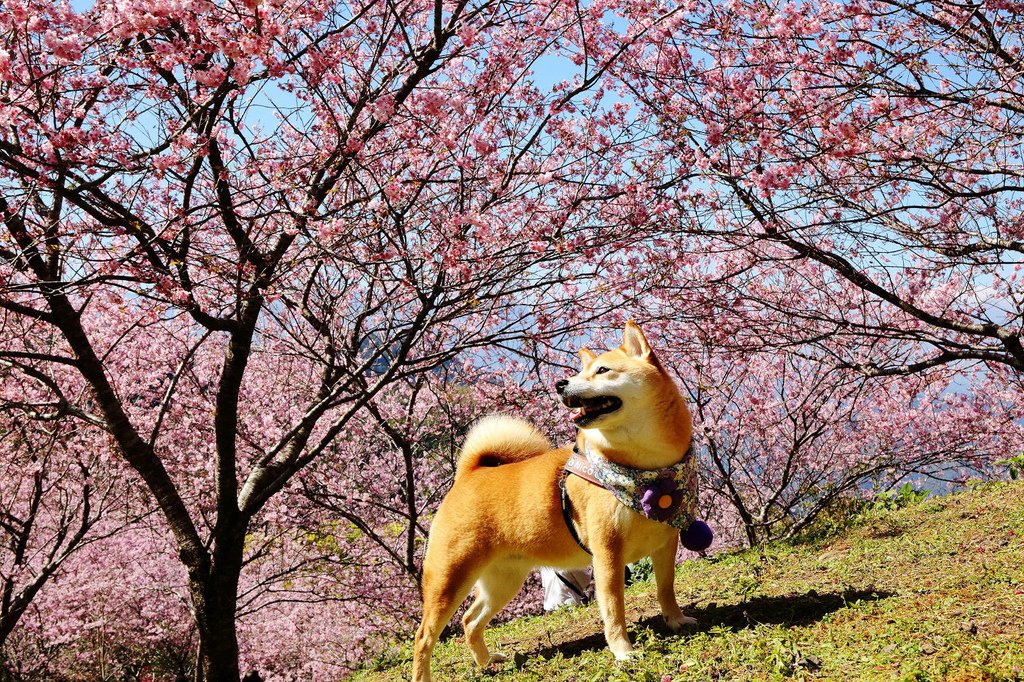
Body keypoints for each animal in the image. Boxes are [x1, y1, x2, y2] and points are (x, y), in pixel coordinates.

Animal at [409, 319, 696, 679]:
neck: (644, 468)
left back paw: (488, 663)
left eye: (602, 370)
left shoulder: (666, 541)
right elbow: (614, 608)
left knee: (470, 620)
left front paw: (676, 620)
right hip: (450, 578)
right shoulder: (607, 553)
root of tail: (468, 475)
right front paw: (623, 652)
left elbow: (665, 587)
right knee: (424, 636)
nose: (561, 383)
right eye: (579, 371)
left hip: (504, 580)